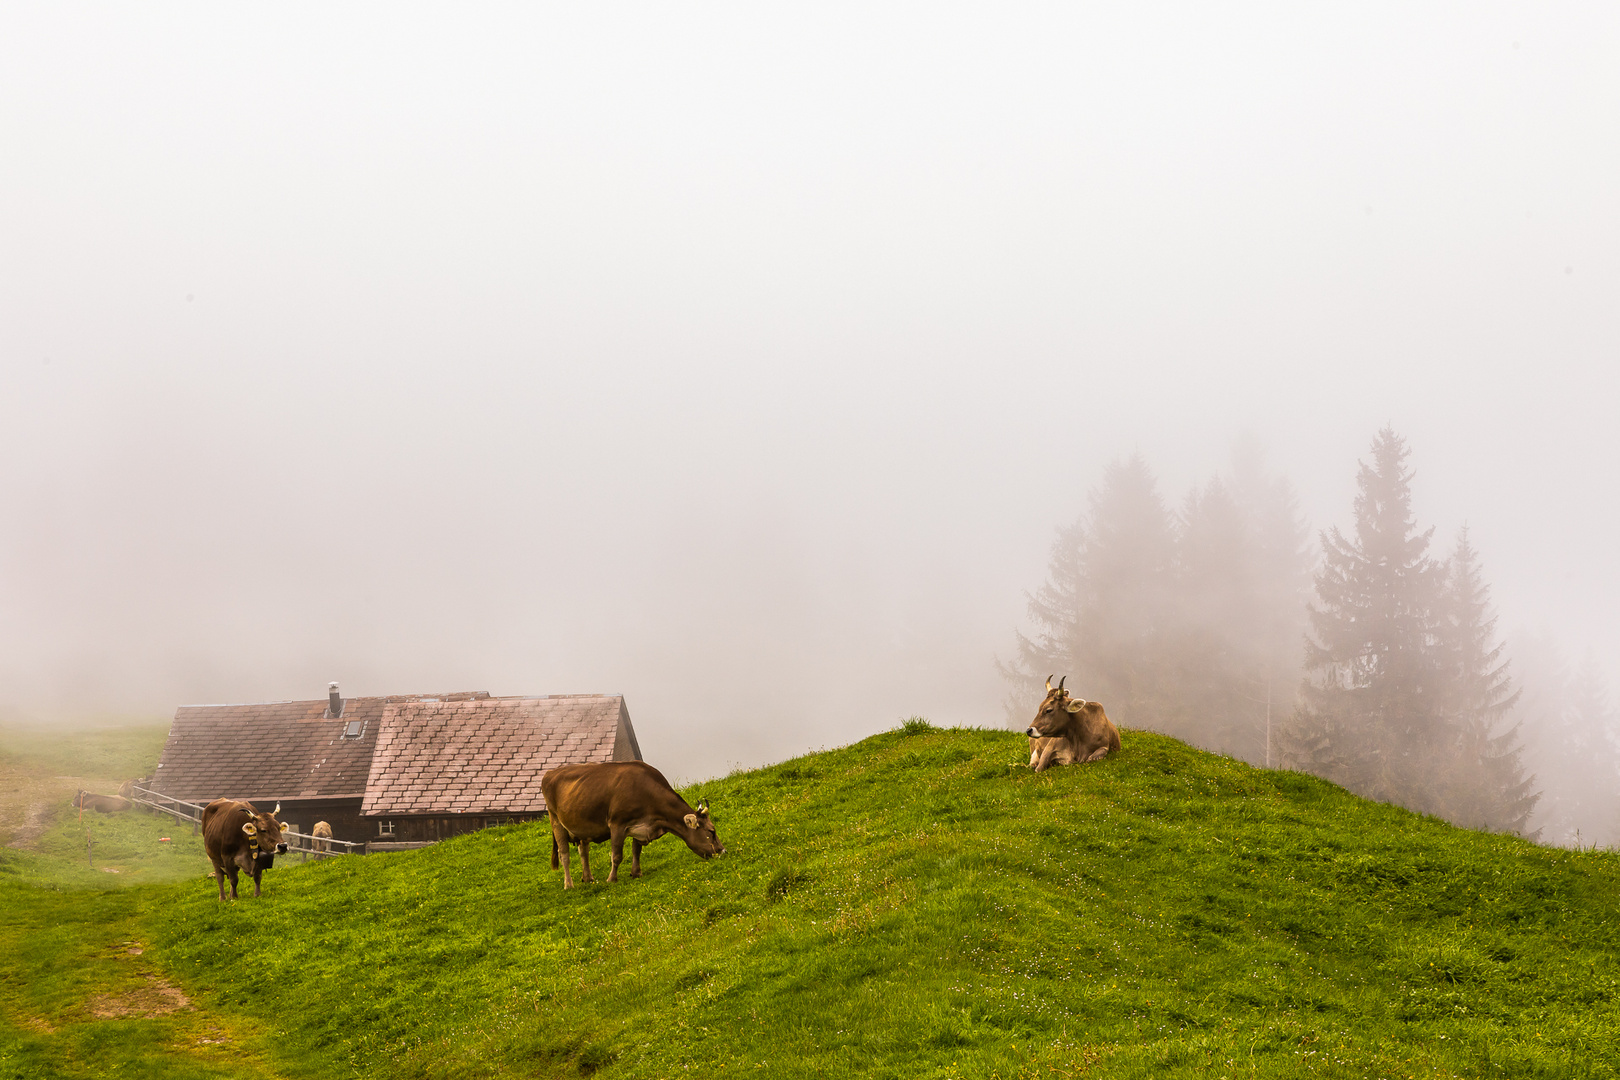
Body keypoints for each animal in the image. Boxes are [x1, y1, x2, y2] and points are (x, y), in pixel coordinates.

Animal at [541, 761, 725, 887]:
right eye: (711, 831)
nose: (723, 851)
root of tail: (551, 772)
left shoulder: (641, 826)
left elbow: (636, 850)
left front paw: (636, 872)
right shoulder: (617, 824)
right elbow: (617, 855)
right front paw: (611, 879)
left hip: (580, 827)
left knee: (583, 852)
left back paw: (588, 878)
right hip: (556, 821)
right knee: (564, 855)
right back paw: (568, 884)